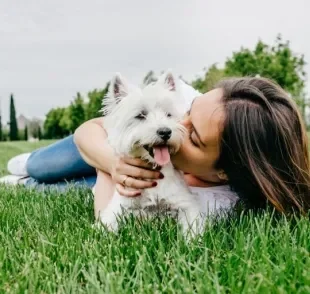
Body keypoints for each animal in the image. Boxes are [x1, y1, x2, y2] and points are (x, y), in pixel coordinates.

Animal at [100, 72, 205, 239]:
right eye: (140, 115)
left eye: (168, 114)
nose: (165, 132)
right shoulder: (120, 205)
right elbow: (106, 225)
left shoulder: (185, 203)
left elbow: (192, 227)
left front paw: (192, 242)